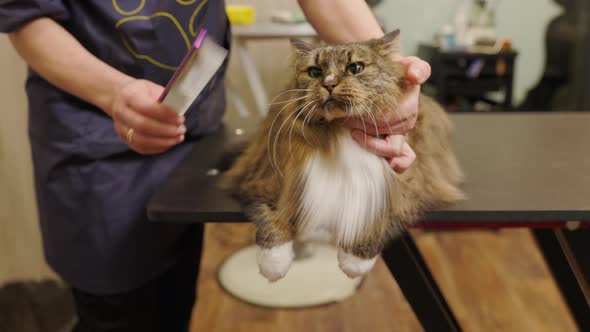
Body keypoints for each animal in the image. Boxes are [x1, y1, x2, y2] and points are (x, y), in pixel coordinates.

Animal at [219, 29, 468, 282]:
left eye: (355, 68)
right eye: (315, 72)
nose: (329, 83)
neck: (338, 130)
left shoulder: (414, 185)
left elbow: (383, 215)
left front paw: (355, 261)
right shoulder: (263, 179)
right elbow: (270, 214)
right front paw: (274, 262)